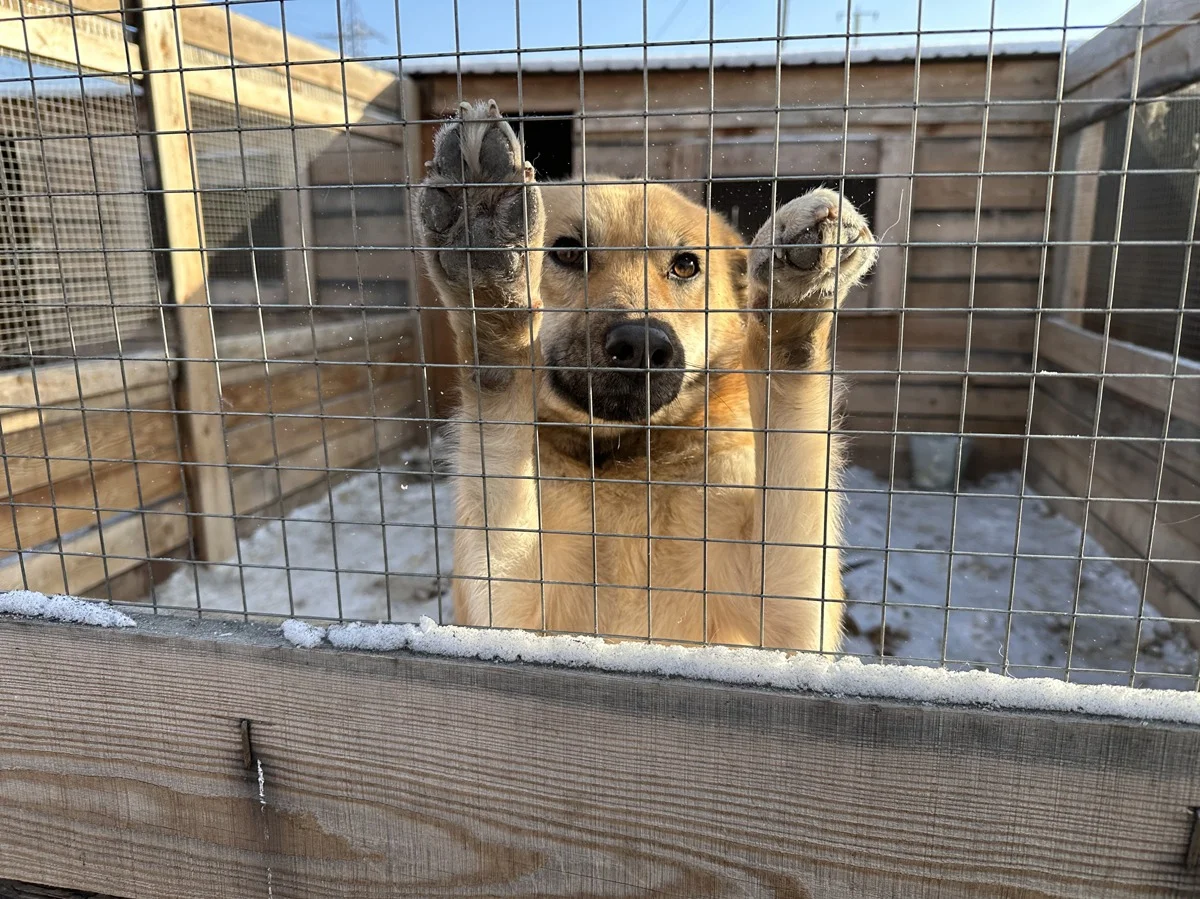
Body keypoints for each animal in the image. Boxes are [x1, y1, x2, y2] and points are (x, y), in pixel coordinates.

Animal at [417, 100, 878, 652]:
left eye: (685, 265)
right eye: (566, 251)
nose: (642, 344)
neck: (625, 460)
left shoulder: (794, 625)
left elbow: (792, 400)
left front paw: (797, 302)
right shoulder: (502, 612)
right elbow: (500, 403)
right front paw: (489, 273)